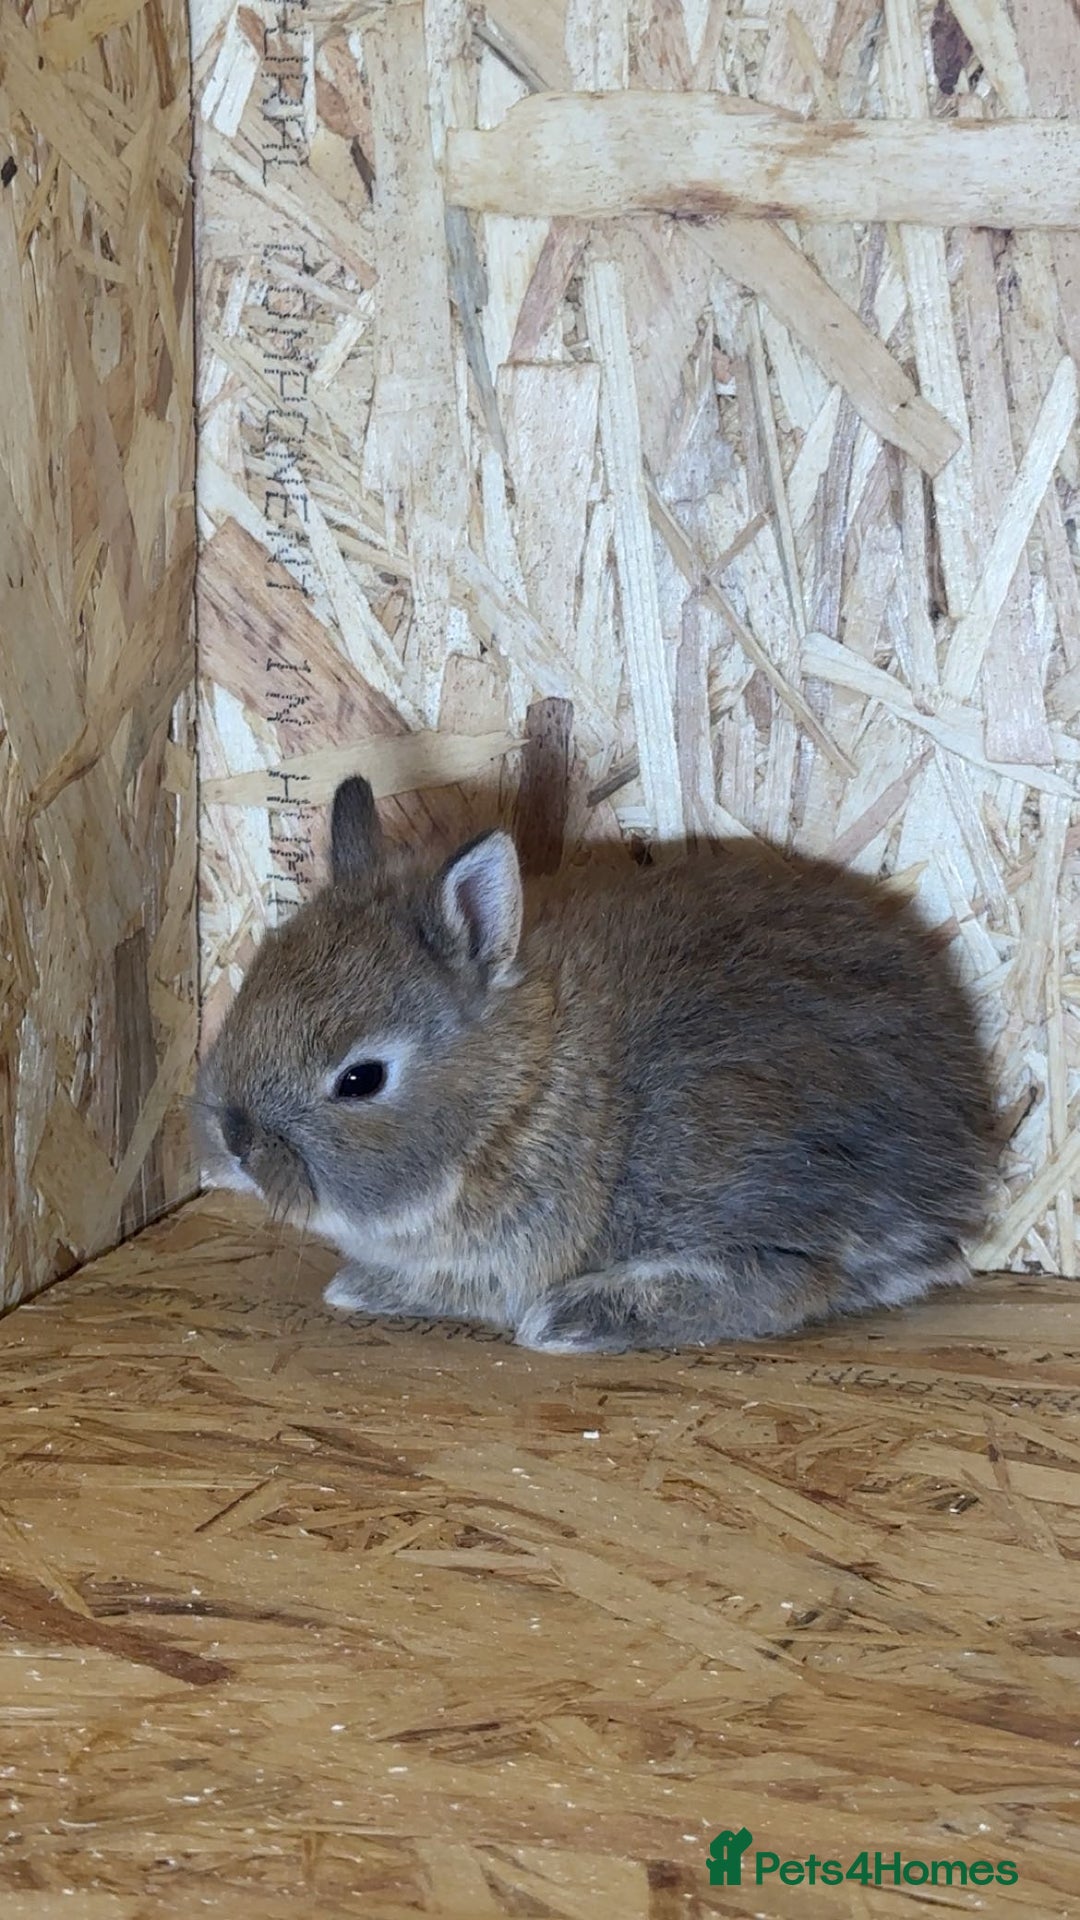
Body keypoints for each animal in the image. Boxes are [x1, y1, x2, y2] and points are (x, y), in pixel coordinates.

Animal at [194, 774, 994, 1354]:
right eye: (253, 979)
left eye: (361, 1079)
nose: (233, 1141)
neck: (519, 1094)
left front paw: (359, 1287)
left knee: (795, 1279)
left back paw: (572, 1321)